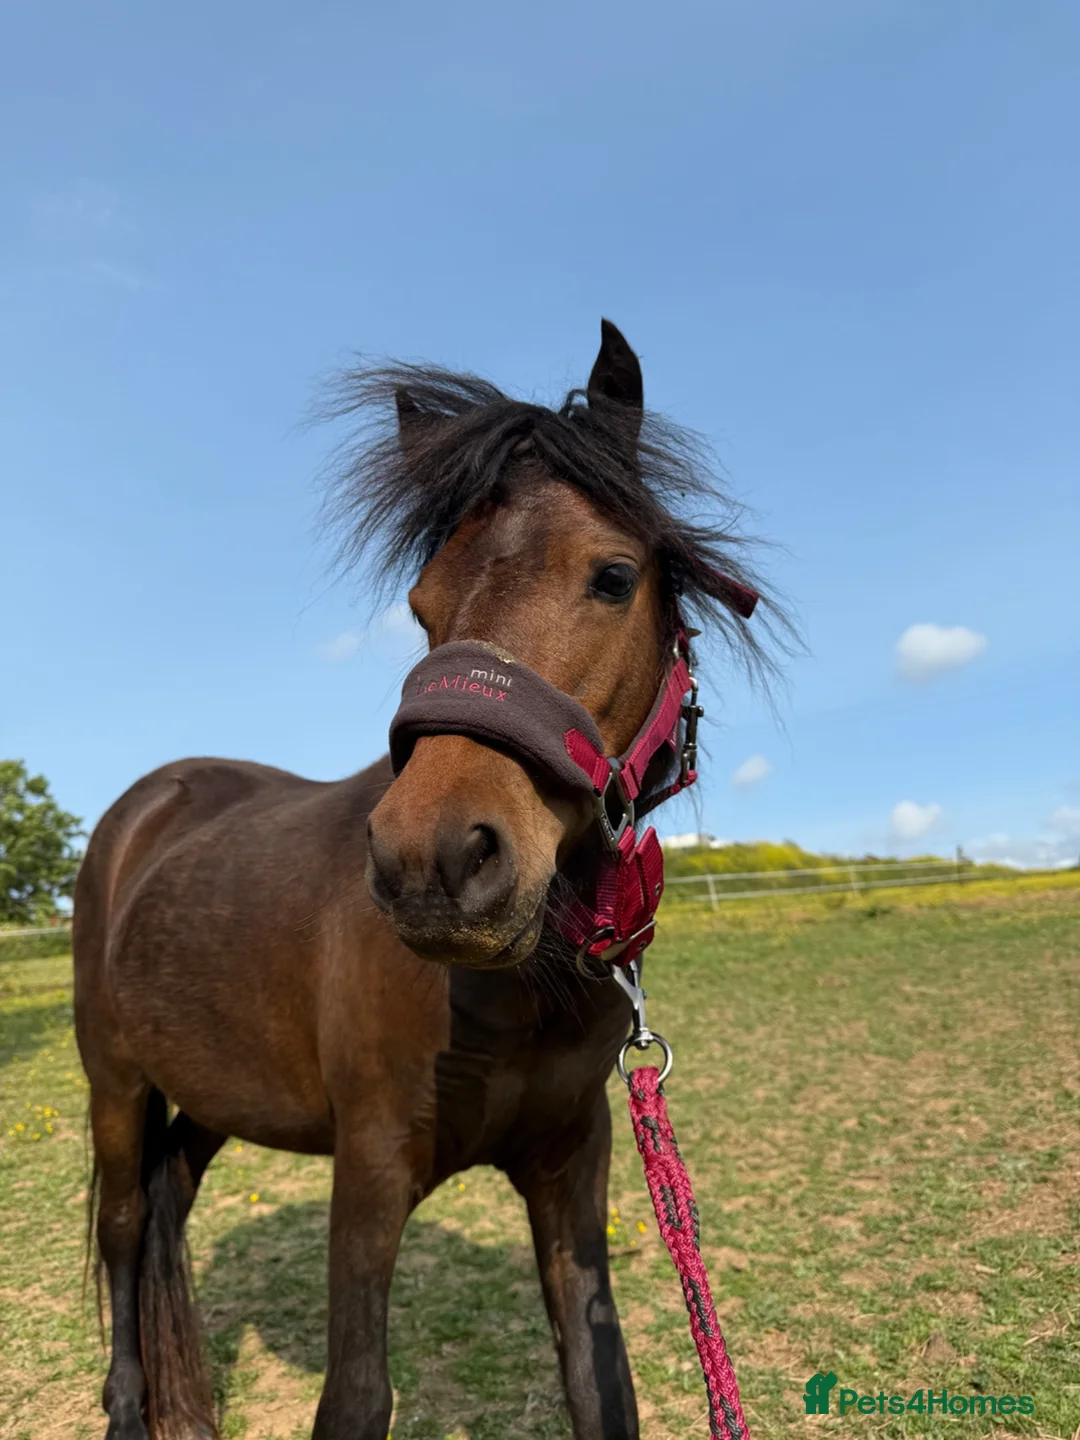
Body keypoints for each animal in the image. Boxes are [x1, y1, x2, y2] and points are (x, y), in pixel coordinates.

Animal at [74, 319, 776, 1440]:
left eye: (613, 576)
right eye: (423, 604)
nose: (435, 863)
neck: (520, 989)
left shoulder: (571, 1168)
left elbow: (599, 1378)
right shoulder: (369, 1172)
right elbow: (358, 1395)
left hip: (213, 1092)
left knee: (170, 1201)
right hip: (114, 1080)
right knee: (128, 1227)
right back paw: (132, 1409)